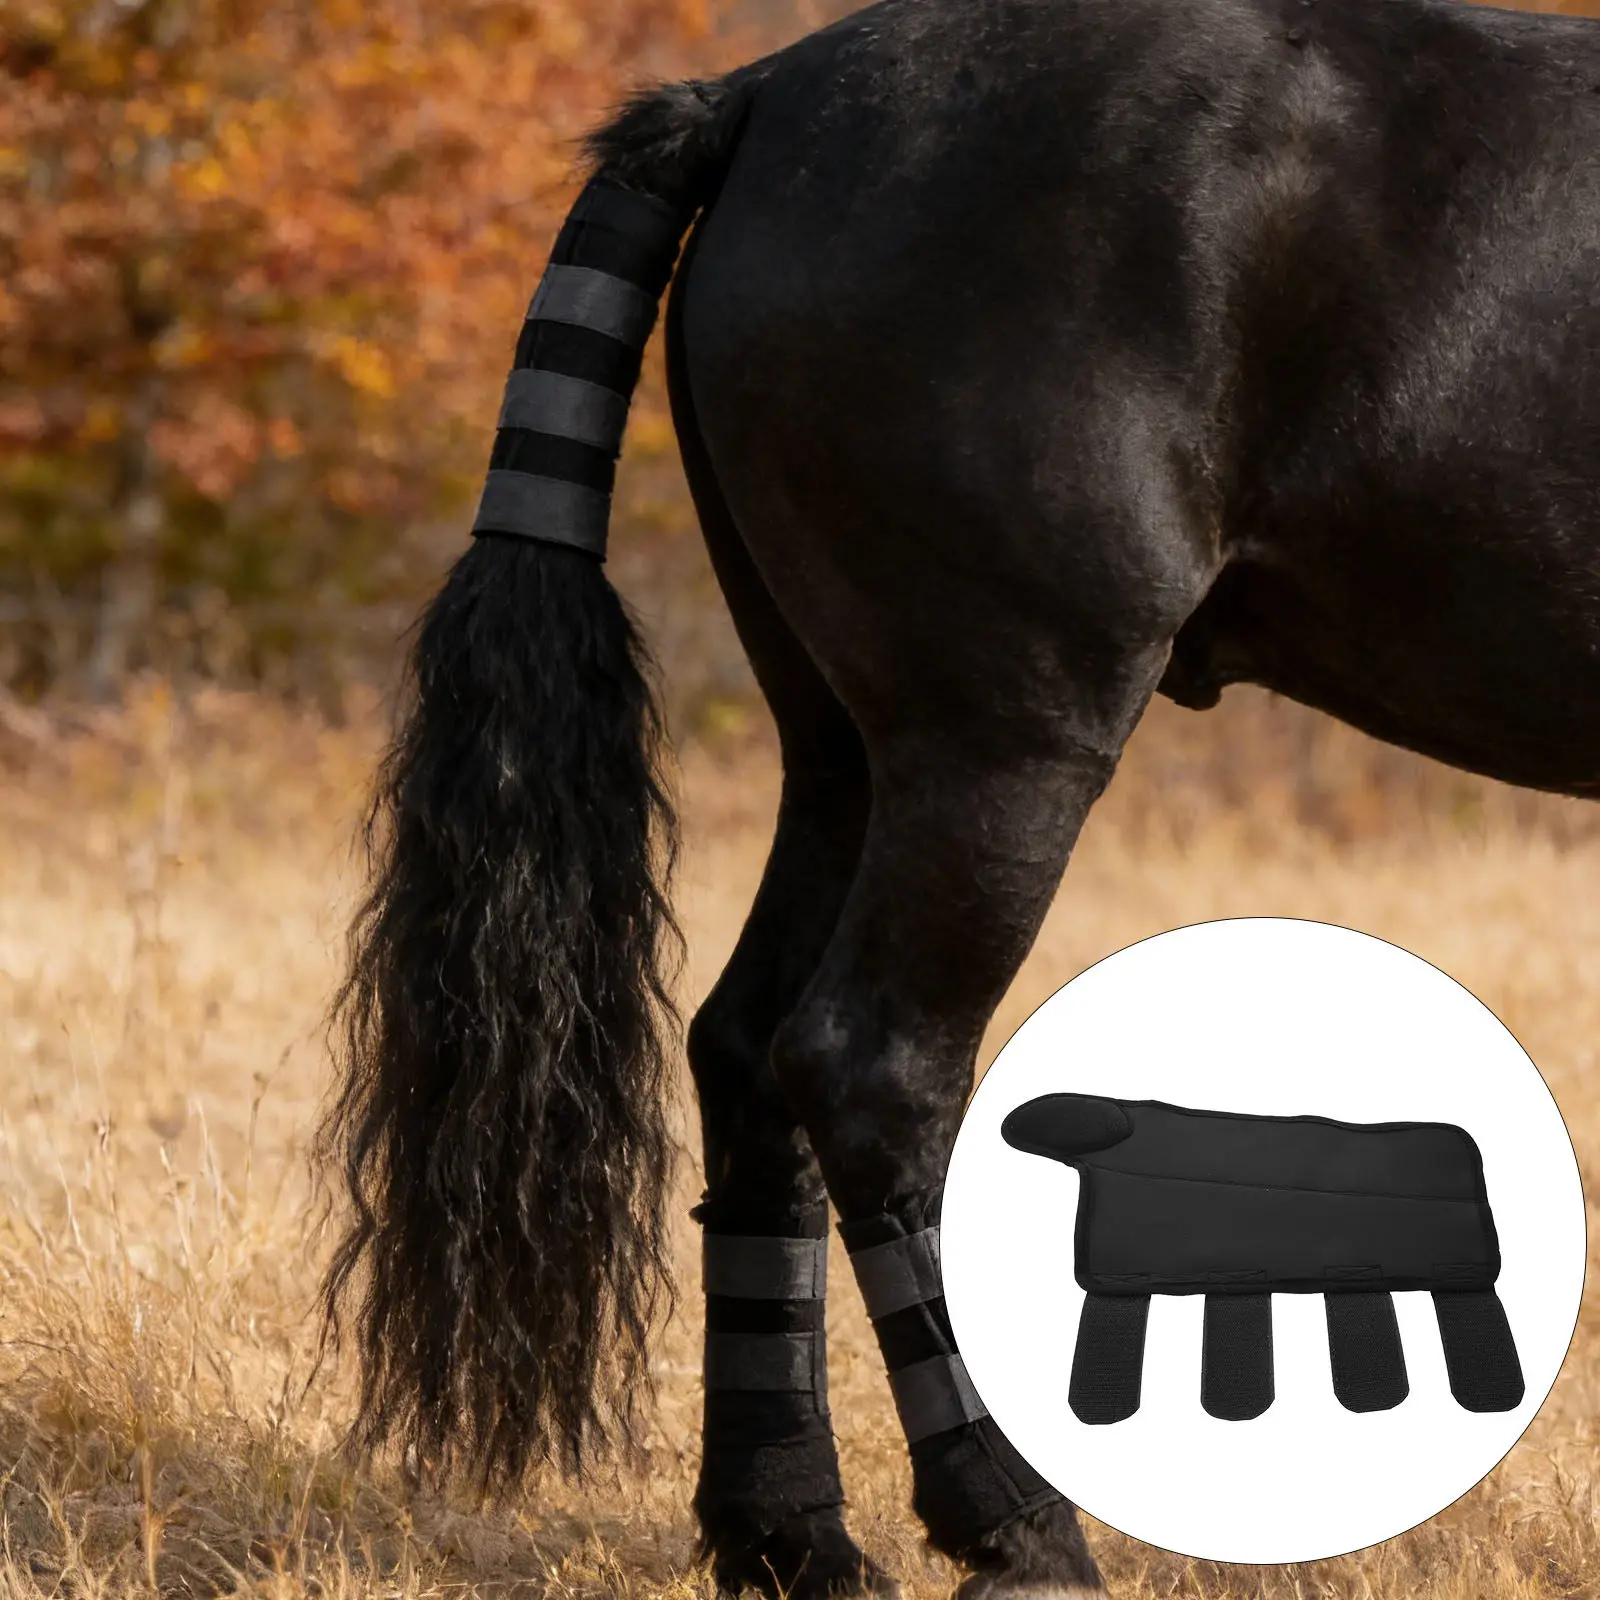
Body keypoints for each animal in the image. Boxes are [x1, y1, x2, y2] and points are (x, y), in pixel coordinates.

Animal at [316, 0, 1600, 1594]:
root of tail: (765, 94)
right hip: (1002, 740)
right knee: (875, 1069)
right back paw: (1017, 1520)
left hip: (850, 753)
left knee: (748, 1051)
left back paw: (790, 1530)